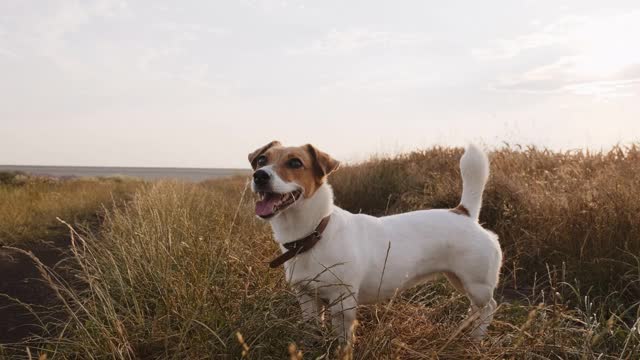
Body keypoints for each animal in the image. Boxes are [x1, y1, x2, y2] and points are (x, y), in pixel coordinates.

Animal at [248, 141, 502, 344]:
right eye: (262, 160)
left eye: (295, 163)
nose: (259, 175)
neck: (315, 233)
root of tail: (465, 213)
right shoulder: (307, 296)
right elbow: (312, 328)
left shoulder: (343, 302)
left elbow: (343, 339)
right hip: (458, 279)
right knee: (475, 308)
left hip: (477, 284)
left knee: (489, 308)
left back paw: (476, 338)